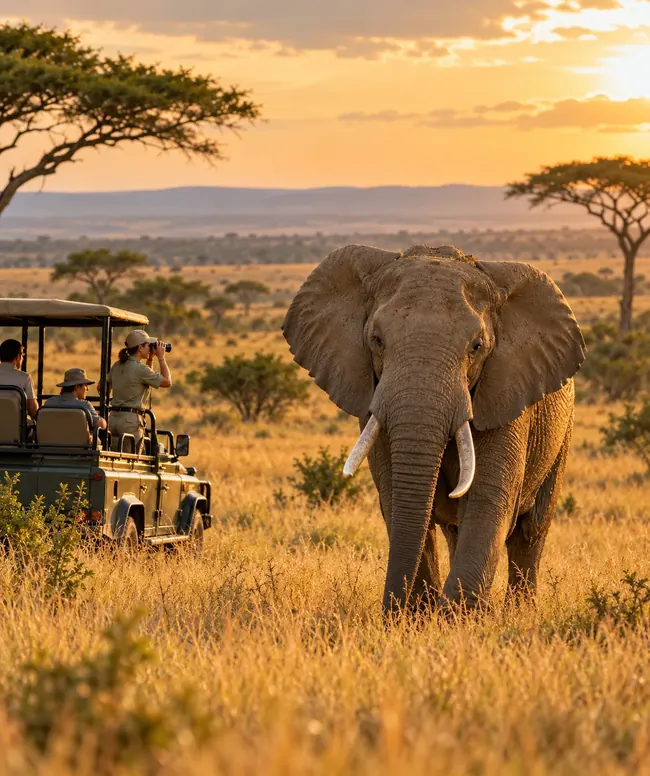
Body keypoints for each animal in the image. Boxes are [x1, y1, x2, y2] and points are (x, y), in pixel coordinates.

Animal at [282, 244, 586, 615]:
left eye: (476, 347)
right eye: (377, 340)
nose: (388, 611)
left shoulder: (506, 392)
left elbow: (487, 499)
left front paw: (456, 620)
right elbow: (396, 496)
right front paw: (420, 618)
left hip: (562, 433)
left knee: (530, 531)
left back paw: (518, 612)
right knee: (457, 530)